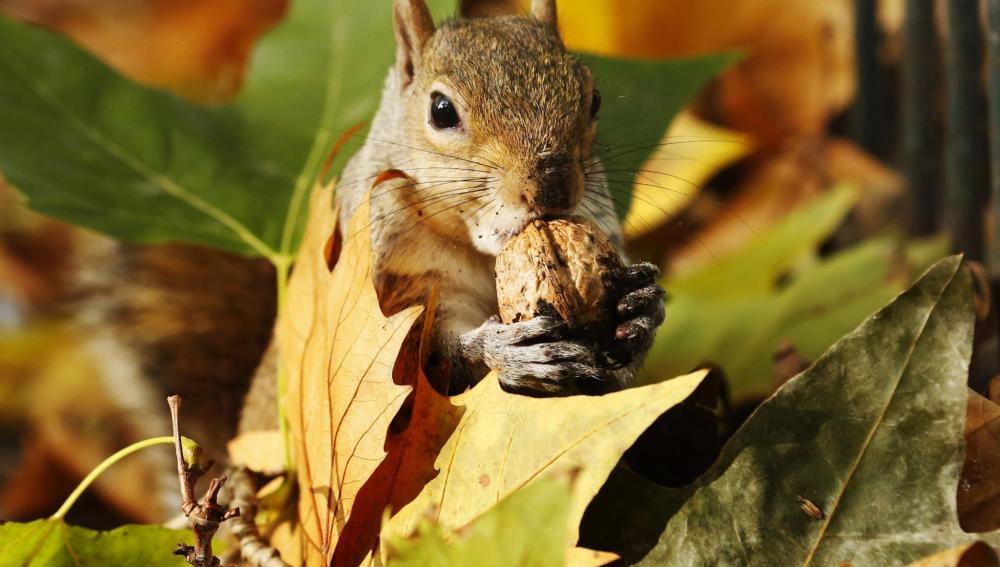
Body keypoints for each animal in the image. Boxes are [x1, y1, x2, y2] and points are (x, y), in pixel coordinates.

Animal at [70, 0, 664, 516]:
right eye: (441, 111)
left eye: (593, 98)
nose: (553, 186)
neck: (478, 250)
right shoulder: (390, 282)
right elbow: (422, 366)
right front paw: (507, 350)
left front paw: (641, 308)